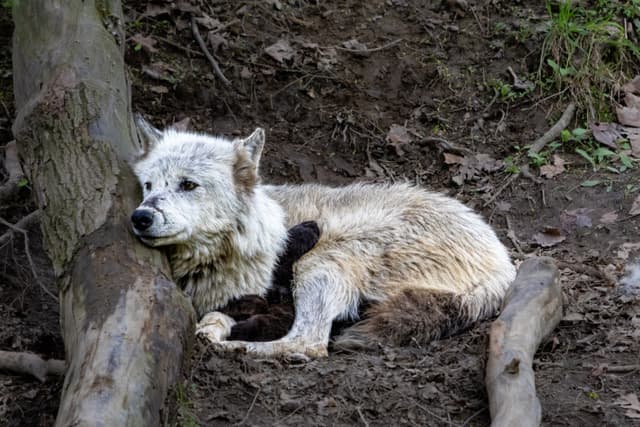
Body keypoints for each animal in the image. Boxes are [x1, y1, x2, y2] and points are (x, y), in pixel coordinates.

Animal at [131, 119, 516, 358]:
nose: (141, 217)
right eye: (148, 186)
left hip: (321, 261)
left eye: (188, 185)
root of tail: (504, 263)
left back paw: (232, 348)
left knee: (309, 343)